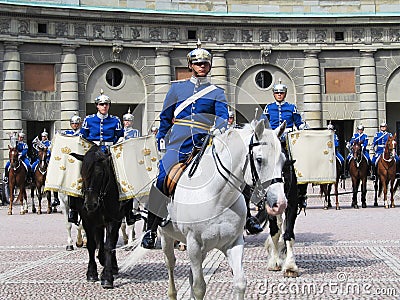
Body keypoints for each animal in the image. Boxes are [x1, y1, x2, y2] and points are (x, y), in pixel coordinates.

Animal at [69, 145, 130, 288]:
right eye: (82, 173)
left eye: (101, 174)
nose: (90, 204)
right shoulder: (87, 220)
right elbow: (92, 245)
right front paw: (92, 273)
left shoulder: (112, 220)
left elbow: (109, 245)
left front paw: (107, 277)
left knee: (112, 241)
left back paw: (112, 265)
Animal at [157, 120, 288, 300]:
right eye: (259, 160)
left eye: (283, 160)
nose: (280, 203)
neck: (219, 198)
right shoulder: (193, 244)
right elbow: (199, 287)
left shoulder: (233, 243)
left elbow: (240, 282)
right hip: (166, 237)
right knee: (170, 263)